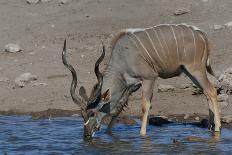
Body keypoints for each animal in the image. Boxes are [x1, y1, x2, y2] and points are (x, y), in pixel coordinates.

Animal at [62, 23, 222, 138]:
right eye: (82, 115)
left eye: (92, 113)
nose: (87, 135)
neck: (123, 57)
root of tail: (200, 33)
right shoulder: (129, 86)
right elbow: (118, 108)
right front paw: (109, 133)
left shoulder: (149, 78)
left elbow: (145, 106)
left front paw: (142, 134)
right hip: (189, 72)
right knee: (206, 92)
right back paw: (210, 127)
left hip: (195, 69)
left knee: (211, 91)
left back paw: (218, 128)